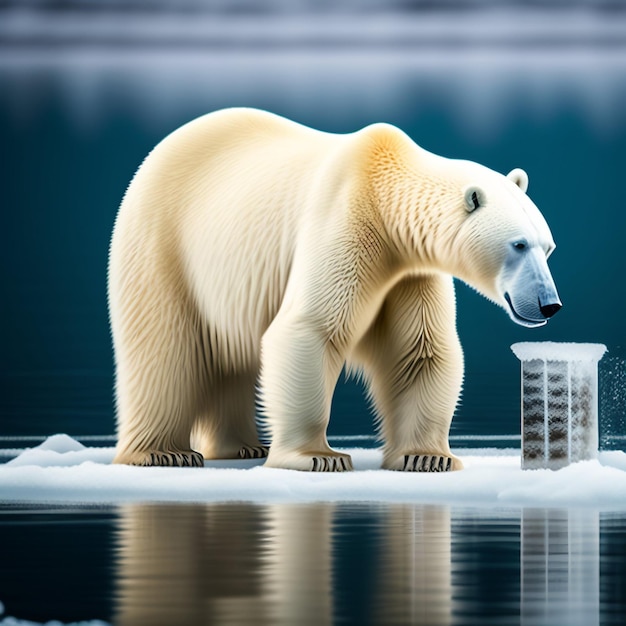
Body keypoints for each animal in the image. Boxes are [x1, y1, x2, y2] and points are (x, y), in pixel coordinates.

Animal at [108, 107, 560, 470]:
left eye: (549, 246)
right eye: (518, 245)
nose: (549, 304)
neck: (384, 191)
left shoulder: (409, 271)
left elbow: (420, 349)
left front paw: (427, 456)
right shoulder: (344, 222)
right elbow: (311, 328)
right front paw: (317, 456)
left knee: (231, 358)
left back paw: (240, 447)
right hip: (164, 243)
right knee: (165, 350)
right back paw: (163, 452)